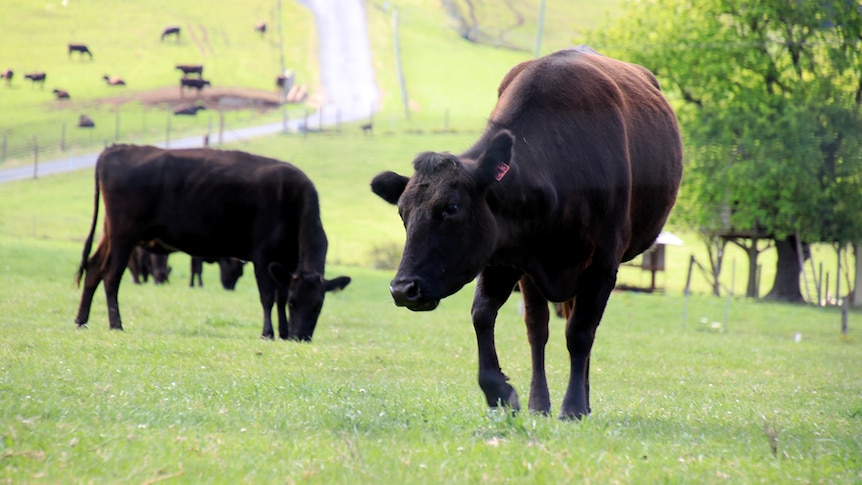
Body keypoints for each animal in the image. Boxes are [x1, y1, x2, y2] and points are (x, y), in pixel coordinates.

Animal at [74, 145, 352, 340]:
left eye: (318, 306)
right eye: (296, 303)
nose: (300, 337)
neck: (292, 203)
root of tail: (116, 149)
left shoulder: (285, 264)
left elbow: (279, 295)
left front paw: (282, 333)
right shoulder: (262, 256)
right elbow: (268, 297)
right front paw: (268, 333)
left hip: (110, 233)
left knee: (94, 269)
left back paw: (81, 320)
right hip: (124, 234)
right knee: (111, 276)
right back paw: (116, 324)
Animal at [374, 48, 684, 420]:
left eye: (451, 207)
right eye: (402, 213)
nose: (403, 289)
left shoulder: (603, 264)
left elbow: (580, 333)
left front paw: (573, 406)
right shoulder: (507, 255)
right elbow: (487, 316)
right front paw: (502, 392)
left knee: (581, 330)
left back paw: (582, 400)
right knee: (539, 329)